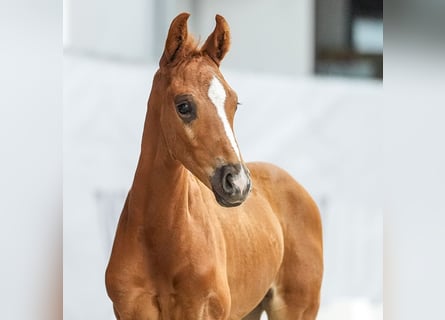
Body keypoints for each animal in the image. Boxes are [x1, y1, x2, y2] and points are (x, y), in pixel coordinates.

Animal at [106, 13, 322, 320]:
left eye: (235, 103)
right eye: (184, 106)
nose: (238, 183)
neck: (160, 238)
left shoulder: (201, 309)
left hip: (297, 308)